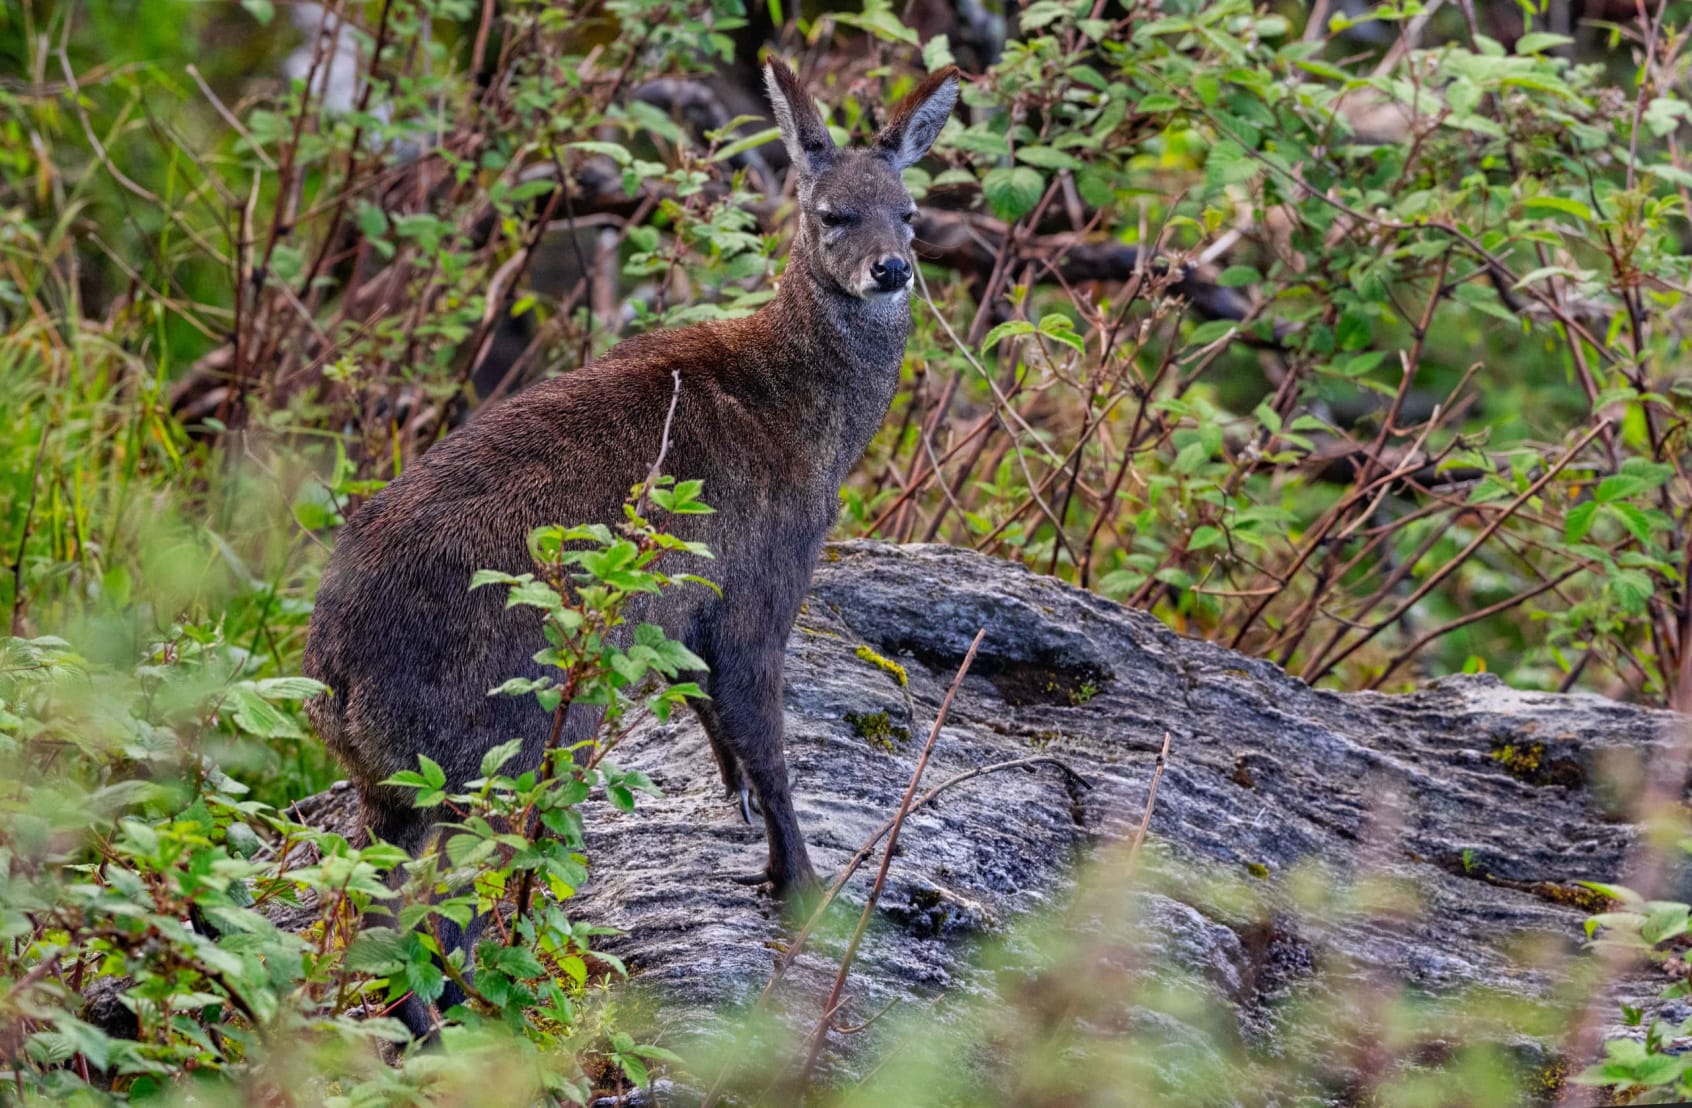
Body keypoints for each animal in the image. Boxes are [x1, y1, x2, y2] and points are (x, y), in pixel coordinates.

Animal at [302, 59, 962, 1038]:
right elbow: (767, 738)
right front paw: (804, 886)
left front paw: (744, 827)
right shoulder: (763, 577)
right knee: (425, 914)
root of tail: (332, 674)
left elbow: (712, 714)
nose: (892, 268)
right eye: (832, 212)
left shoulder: (687, 608)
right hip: (508, 745)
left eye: (910, 211)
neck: (808, 418)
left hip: (397, 784)